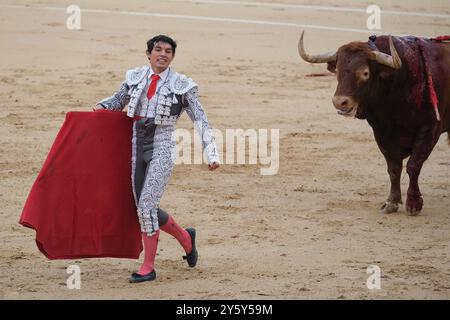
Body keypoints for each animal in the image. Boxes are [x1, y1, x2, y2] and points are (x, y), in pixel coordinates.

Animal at [298, 31, 450, 215]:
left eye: (365, 73)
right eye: (338, 70)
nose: (340, 102)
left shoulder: (430, 129)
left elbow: (413, 165)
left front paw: (413, 204)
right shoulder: (382, 133)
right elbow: (393, 168)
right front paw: (391, 202)